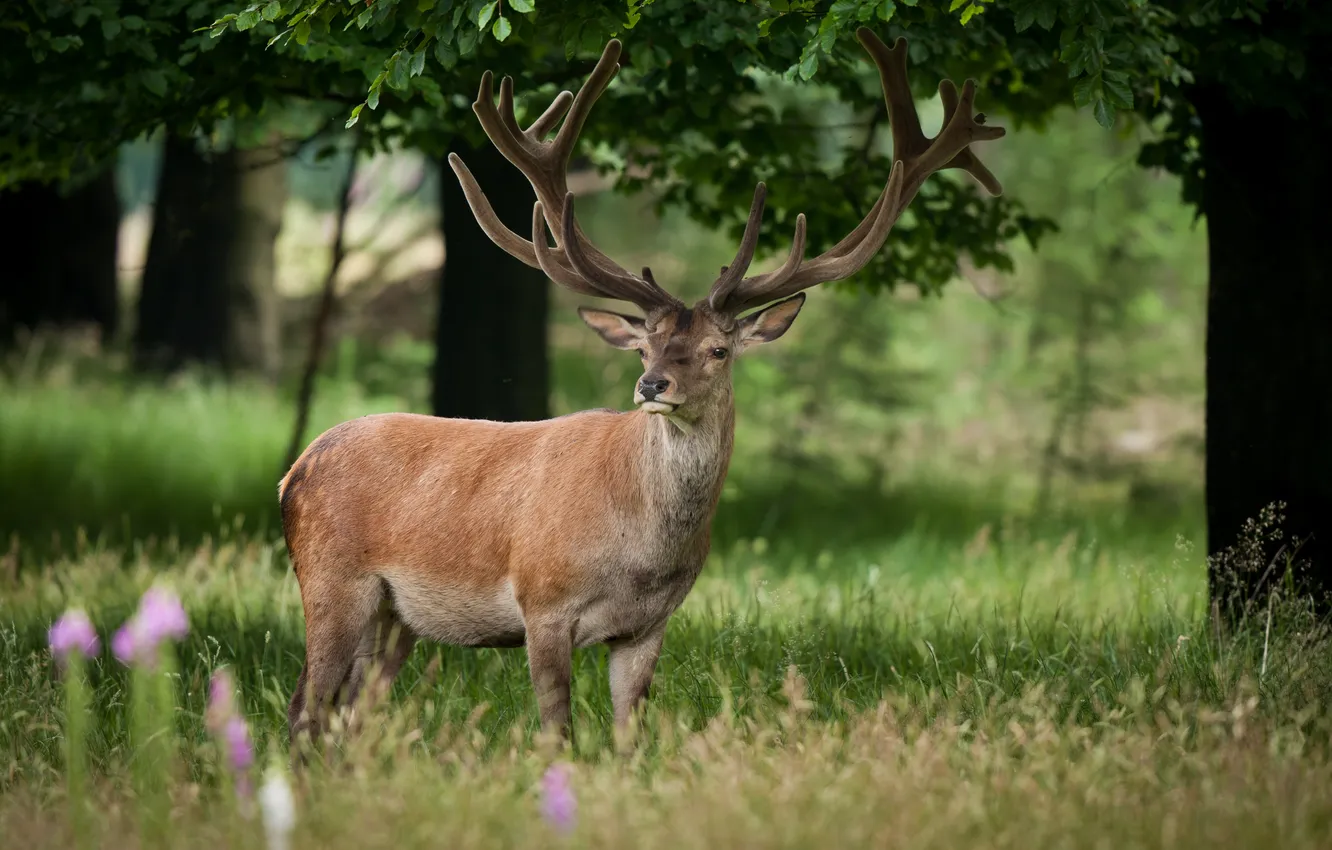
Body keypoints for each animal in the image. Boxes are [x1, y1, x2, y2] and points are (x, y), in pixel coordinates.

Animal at [280, 27, 1005, 747]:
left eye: (717, 349)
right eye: (645, 346)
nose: (653, 385)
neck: (642, 554)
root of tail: (295, 470)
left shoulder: (649, 627)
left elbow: (632, 732)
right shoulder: (543, 600)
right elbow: (557, 728)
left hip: (394, 616)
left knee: (345, 711)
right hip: (332, 579)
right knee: (306, 705)